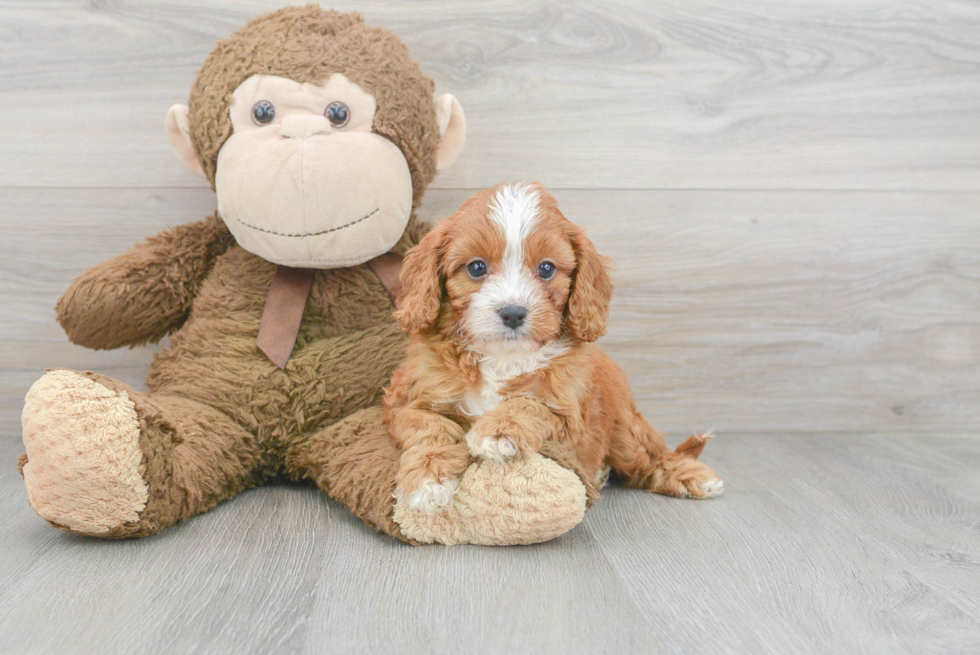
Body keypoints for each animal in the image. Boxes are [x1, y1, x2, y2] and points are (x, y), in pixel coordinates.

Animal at [382, 183, 720, 512]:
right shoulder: (410, 400)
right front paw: (429, 481)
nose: (513, 313)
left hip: (625, 430)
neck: (503, 356)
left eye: (546, 269)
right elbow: (430, 426)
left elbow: (532, 405)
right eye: (476, 268)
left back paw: (690, 476)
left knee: (649, 457)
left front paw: (499, 430)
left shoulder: (569, 419)